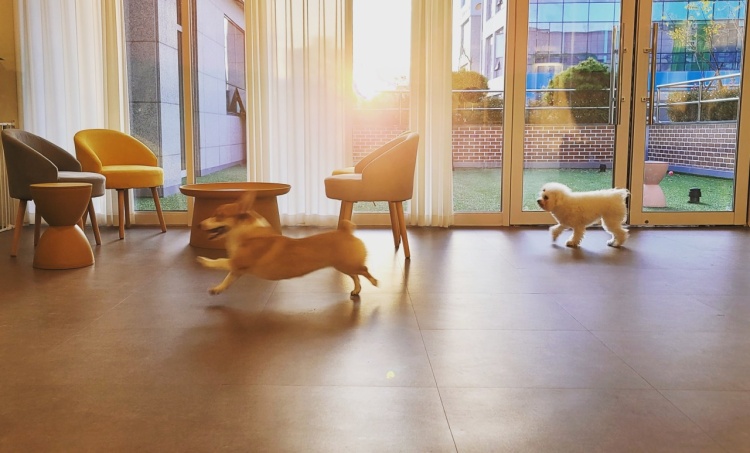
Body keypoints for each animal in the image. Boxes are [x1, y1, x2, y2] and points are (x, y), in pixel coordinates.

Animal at [196, 192, 378, 296]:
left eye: (218, 215)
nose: (198, 225)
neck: (245, 234)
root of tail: (346, 231)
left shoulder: (237, 262)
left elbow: (220, 262)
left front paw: (204, 261)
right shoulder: (237, 270)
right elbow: (227, 279)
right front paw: (217, 289)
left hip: (347, 264)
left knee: (364, 270)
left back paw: (375, 282)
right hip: (342, 266)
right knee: (356, 276)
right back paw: (356, 290)